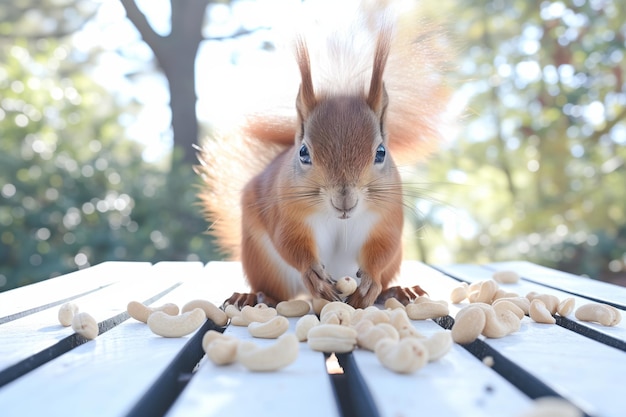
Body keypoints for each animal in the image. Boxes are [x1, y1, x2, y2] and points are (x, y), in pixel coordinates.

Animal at [196, 0, 454, 308]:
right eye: (304, 153)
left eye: (381, 152)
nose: (345, 201)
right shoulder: (286, 211)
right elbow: (289, 242)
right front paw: (313, 274)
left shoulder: (388, 213)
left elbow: (384, 246)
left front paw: (371, 280)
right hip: (264, 263)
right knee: (276, 291)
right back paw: (253, 296)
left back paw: (397, 290)